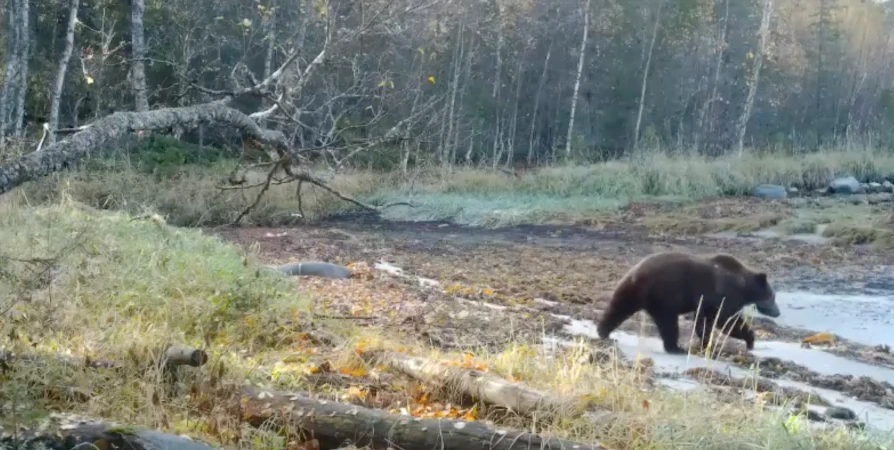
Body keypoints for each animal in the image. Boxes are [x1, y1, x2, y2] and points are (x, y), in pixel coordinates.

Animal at [600, 251, 780, 354]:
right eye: (773, 296)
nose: (778, 312)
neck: (744, 286)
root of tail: (636, 274)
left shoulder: (706, 302)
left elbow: (704, 320)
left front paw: (705, 342)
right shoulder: (725, 295)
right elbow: (728, 321)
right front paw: (750, 339)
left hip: (633, 292)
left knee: (618, 307)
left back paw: (603, 331)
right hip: (665, 295)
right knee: (668, 323)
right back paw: (676, 348)